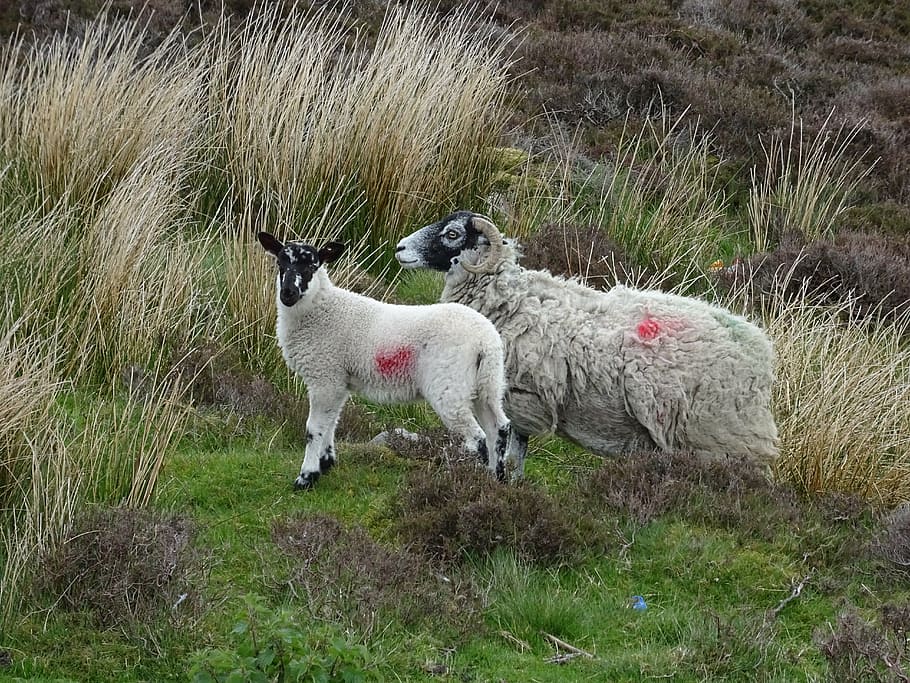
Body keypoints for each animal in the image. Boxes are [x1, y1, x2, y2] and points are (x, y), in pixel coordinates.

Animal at [257, 231, 511, 489]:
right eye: (280, 263)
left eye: (312, 265)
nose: (288, 294)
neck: (321, 309)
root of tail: (485, 339)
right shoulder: (337, 380)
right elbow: (331, 422)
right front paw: (326, 463)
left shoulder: (324, 376)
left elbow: (314, 429)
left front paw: (306, 476)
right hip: (487, 383)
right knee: (499, 428)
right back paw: (498, 480)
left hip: (450, 385)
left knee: (478, 439)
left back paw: (477, 483)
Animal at [394, 211, 779, 476]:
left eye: (452, 234)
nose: (399, 248)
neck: (508, 299)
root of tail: (759, 350)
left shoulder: (522, 398)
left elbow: (512, 454)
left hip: (721, 435)